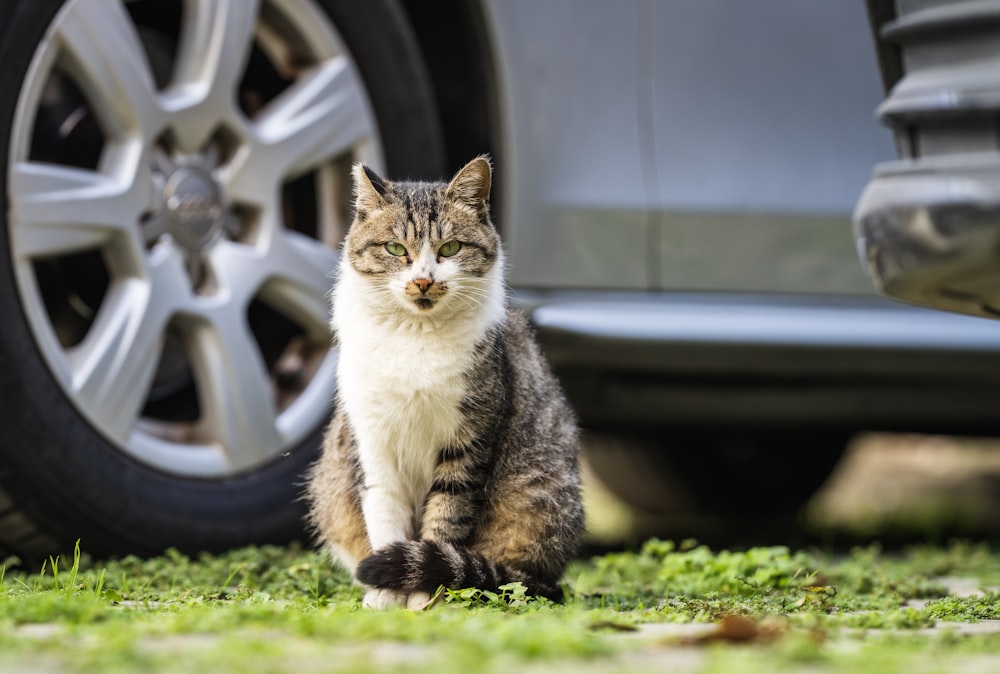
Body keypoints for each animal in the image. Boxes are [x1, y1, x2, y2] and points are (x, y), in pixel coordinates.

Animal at [304, 155, 584, 608]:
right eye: (395, 249)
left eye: (450, 248)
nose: (423, 280)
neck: (414, 337)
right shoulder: (373, 445)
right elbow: (385, 519)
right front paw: (386, 594)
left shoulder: (468, 442)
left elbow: (445, 522)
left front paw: (424, 597)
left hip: (538, 509)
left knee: (517, 579)